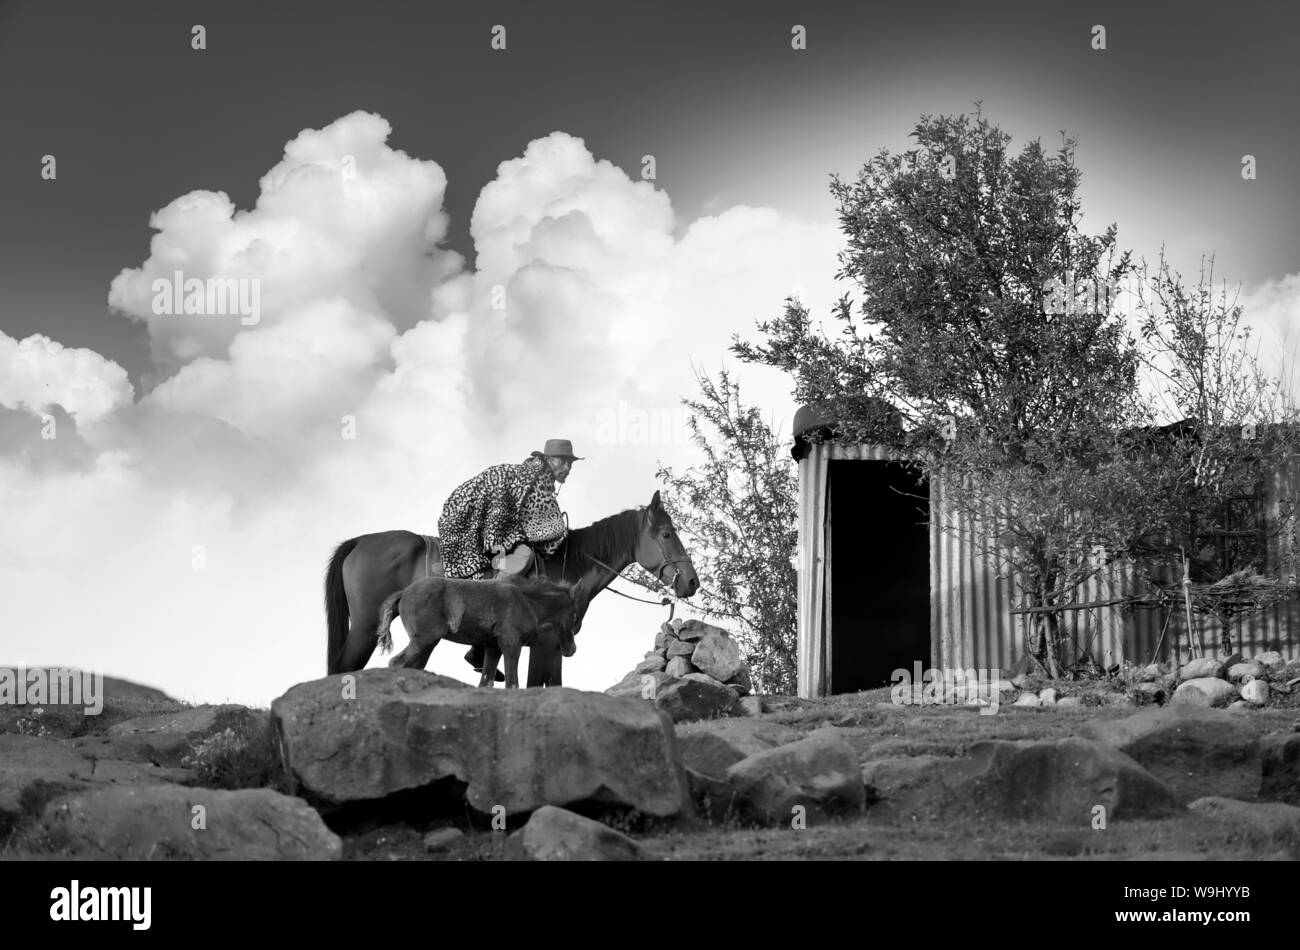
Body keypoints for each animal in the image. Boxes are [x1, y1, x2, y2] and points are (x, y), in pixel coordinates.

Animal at [374, 577, 582, 686]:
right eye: (574, 614)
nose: (571, 649)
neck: (526, 601)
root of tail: (404, 592)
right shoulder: (511, 643)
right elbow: (512, 682)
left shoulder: (493, 647)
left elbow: (486, 682)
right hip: (424, 640)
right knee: (396, 662)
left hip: (426, 643)